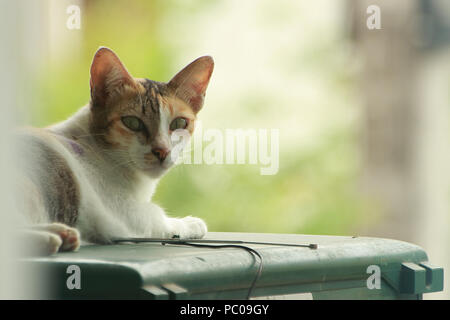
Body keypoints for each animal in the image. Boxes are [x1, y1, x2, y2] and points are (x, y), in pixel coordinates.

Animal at [12, 47, 213, 255]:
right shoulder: (122, 215)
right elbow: (158, 218)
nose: (162, 150)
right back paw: (51, 237)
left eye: (179, 123)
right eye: (132, 122)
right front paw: (189, 223)